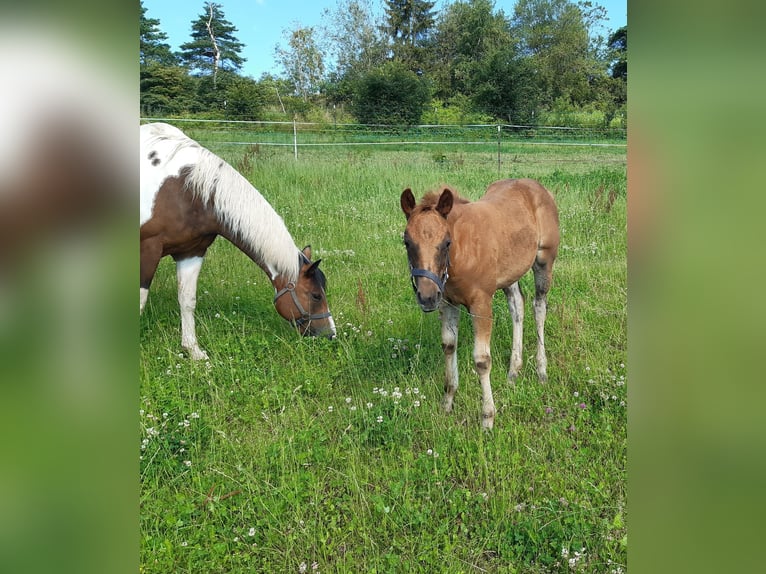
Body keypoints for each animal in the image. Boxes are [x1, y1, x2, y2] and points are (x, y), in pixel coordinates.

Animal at [140, 122, 336, 360]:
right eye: (316, 296)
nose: (330, 333)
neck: (185, 191)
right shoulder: (149, 249)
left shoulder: (192, 252)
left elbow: (187, 300)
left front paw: (193, 351)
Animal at [402, 182, 560, 430]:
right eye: (407, 242)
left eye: (446, 242)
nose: (426, 297)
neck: (462, 253)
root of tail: (537, 187)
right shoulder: (446, 302)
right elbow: (449, 345)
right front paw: (448, 401)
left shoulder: (481, 304)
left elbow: (482, 360)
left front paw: (487, 418)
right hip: (509, 272)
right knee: (518, 305)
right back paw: (513, 371)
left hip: (544, 260)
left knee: (539, 308)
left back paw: (541, 370)